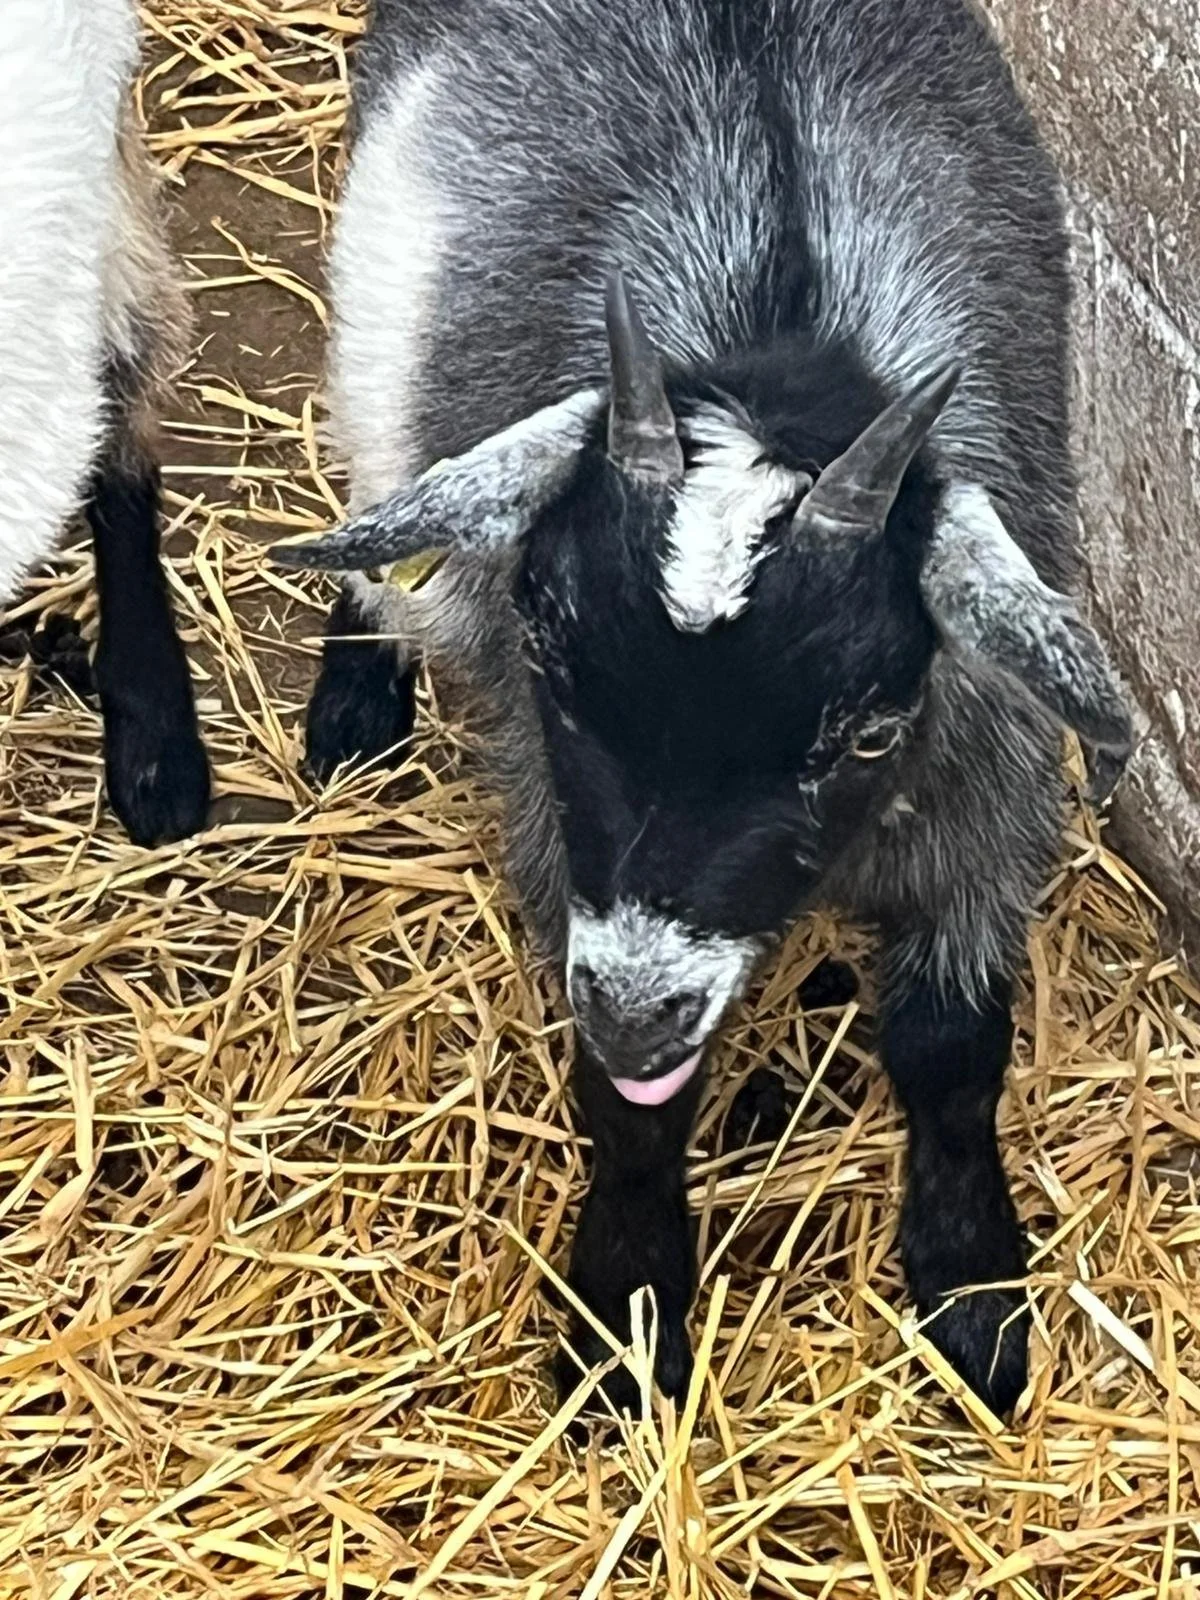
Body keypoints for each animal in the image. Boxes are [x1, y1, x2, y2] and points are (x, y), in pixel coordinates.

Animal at [276, 0, 1132, 1417]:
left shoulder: (988, 774)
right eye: (548, 651)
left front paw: (974, 1293)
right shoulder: (552, 819)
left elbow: (954, 1046)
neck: (785, 340)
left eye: (868, 730)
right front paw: (625, 1315)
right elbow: (630, 1103)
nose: (636, 1006)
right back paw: (357, 688)